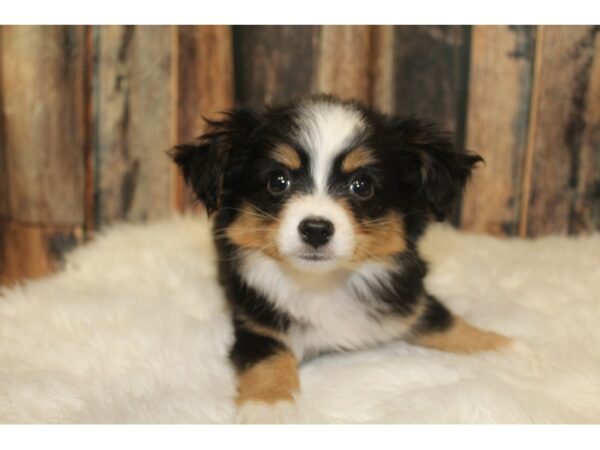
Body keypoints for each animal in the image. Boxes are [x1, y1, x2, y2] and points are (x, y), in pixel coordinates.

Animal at [170, 94, 510, 422]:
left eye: (362, 185)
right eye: (278, 181)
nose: (316, 230)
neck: (324, 283)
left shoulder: (410, 300)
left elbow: (445, 322)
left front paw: (505, 347)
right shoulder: (256, 324)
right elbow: (268, 360)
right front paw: (269, 410)